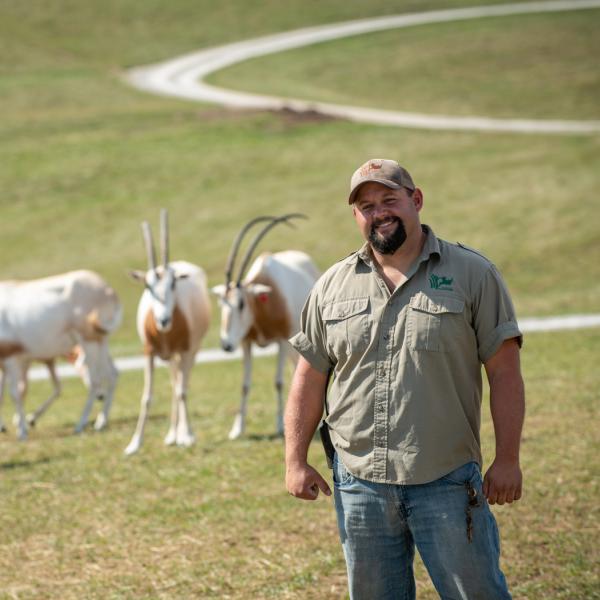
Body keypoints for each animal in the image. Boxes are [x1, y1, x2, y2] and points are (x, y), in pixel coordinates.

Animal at [0, 270, 122, 436]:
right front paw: (17, 423)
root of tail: (108, 290)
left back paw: (80, 424)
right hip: (100, 341)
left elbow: (17, 392)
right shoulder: (21, 361)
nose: (101, 397)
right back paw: (100, 422)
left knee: (95, 380)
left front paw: (22, 430)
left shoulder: (13, 358)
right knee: (112, 374)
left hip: (88, 341)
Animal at [124, 211, 211, 454]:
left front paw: (188, 436)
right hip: (169, 357)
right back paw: (172, 434)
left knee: (182, 385)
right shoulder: (149, 353)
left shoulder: (186, 350)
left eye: (173, 284)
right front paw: (134, 443)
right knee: (174, 384)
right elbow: (147, 397)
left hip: (190, 352)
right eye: (147, 286)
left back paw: (180, 434)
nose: (163, 320)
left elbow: (182, 391)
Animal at [211, 213, 318, 438]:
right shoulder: (246, 343)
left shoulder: (282, 341)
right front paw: (237, 429)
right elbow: (244, 385)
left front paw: (280, 426)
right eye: (221, 303)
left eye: (241, 303)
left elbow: (278, 382)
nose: (226, 345)